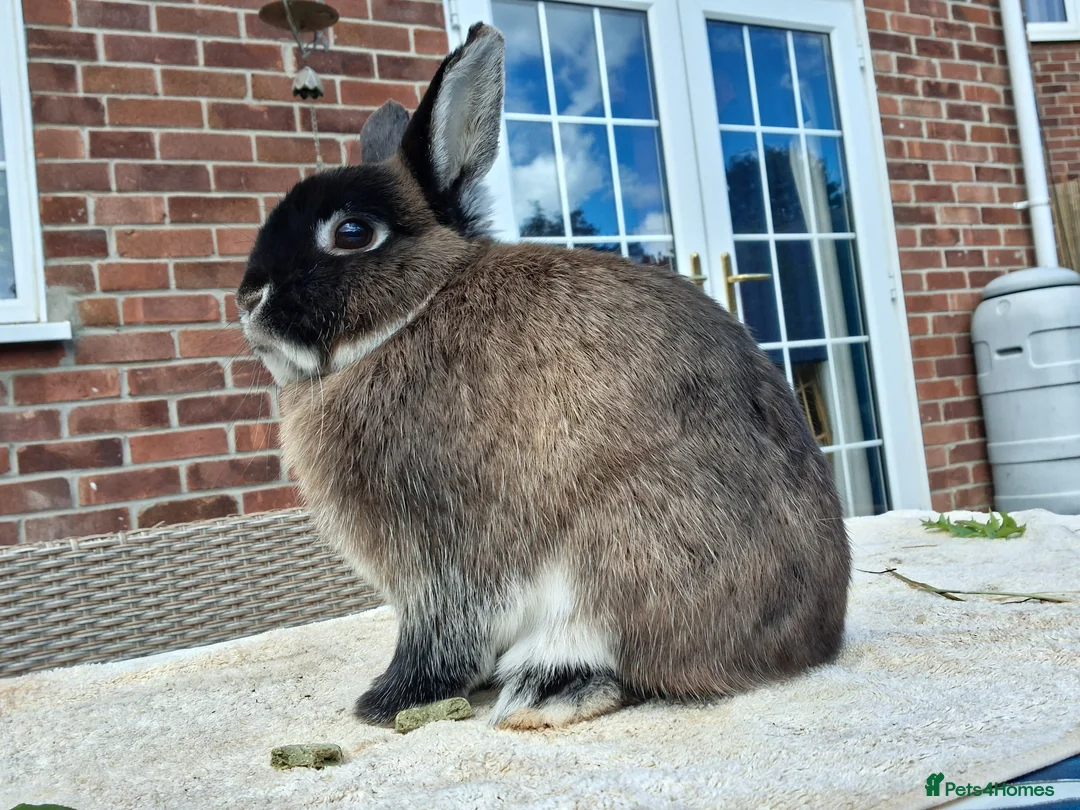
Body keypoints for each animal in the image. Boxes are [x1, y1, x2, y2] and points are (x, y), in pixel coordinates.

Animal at [236, 22, 850, 731]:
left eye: (353, 232)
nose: (248, 300)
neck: (417, 305)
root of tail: (812, 644)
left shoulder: (442, 561)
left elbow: (440, 635)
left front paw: (384, 703)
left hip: (629, 554)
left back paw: (548, 688)